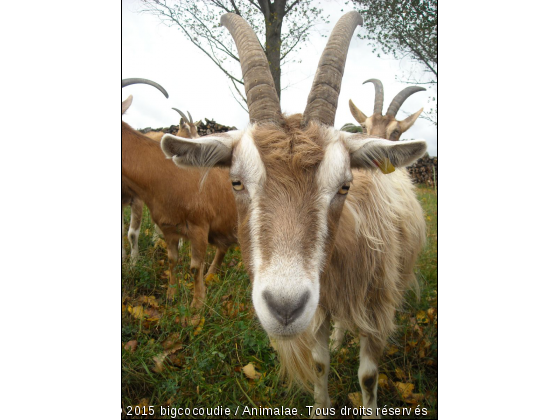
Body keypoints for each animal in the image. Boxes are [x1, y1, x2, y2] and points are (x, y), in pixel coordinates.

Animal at [121, 93, 237, 306]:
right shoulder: (168, 227)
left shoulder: (199, 227)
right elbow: (172, 260)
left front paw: (197, 304)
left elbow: (195, 267)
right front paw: (171, 295)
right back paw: (211, 275)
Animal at [160, 12, 426, 416]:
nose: (285, 309)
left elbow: (367, 376)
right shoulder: (318, 310)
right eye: (236, 182)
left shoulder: (377, 306)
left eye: (344, 185)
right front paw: (320, 404)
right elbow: (318, 363)